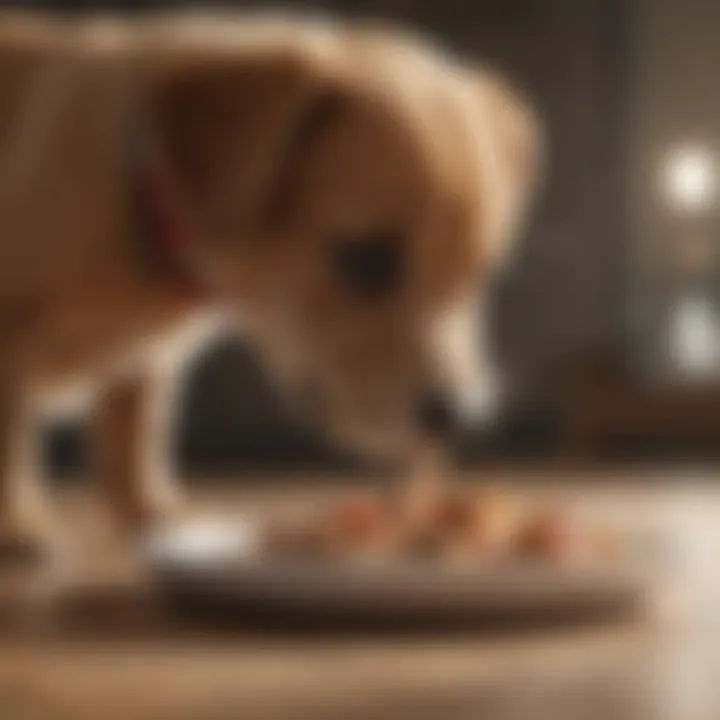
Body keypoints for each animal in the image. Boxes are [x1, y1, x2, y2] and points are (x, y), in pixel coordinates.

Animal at [0, 11, 540, 556]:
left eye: (479, 275)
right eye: (365, 258)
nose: (460, 417)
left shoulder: (148, 365)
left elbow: (133, 432)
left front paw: (154, 514)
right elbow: (13, 435)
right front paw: (15, 525)